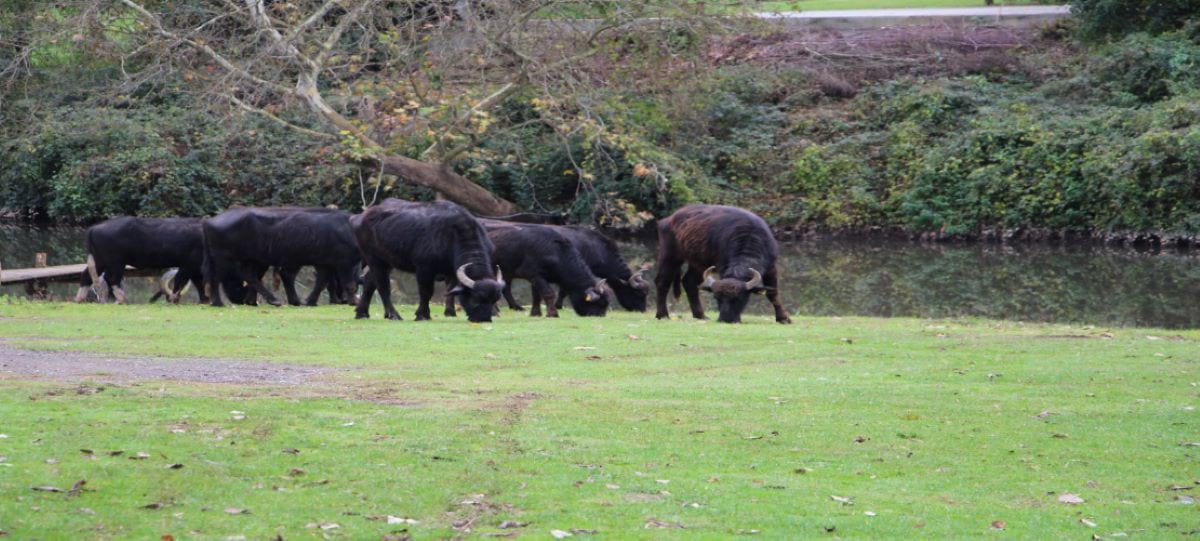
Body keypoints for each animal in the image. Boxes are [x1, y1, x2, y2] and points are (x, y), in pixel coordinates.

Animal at [76, 218, 210, 307]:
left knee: (86, 276)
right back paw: (123, 300)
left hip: (100, 260)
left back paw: (79, 299)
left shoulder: (195, 268)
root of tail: (94, 228)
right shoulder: (188, 266)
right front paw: (174, 300)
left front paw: (205, 300)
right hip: (115, 262)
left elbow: (199, 283)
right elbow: (180, 282)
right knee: (112, 278)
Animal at [201, 207, 357, 307]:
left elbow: (323, 281)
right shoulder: (342, 262)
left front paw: (309, 301)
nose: (343, 299)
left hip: (249, 259)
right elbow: (341, 282)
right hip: (224, 258)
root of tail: (208, 221)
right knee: (216, 277)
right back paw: (218, 303)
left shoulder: (324, 263)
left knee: (249, 276)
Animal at [355, 201, 506, 323]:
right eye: (476, 299)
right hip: (374, 259)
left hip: (387, 262)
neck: (454, 236)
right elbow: (426, 291)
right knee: (383, 286)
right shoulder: (424, 268)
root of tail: (363, 217)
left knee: (369, 282)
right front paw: (422, 315)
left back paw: (362, 313)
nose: (484, 319)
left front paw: (450, 312)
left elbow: (450, 290)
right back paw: (393, 315)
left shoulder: (451, 270)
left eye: (494, 300)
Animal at [480, 219, 614, 316]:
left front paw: (535, 313)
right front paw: (552, 313)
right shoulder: (534, 274)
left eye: (605, 304)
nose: (600, 315)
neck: (555, 253)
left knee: (504, 288)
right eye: (598, 303)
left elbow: (537, 296)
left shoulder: (536, 278)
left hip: (506, 272)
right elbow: (548, 293)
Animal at [652, 206, 792, 326]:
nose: (725, 319)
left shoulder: (771, 268)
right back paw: (662, 315)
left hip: (698, 263)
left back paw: (700, 315)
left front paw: (783, 318)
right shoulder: (722, 266)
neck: (750, 236)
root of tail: (668, 220)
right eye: (717, 298)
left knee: (689, 282)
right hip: (669, 256)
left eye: (738, 298)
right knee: (662, 282)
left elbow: (773, 293)